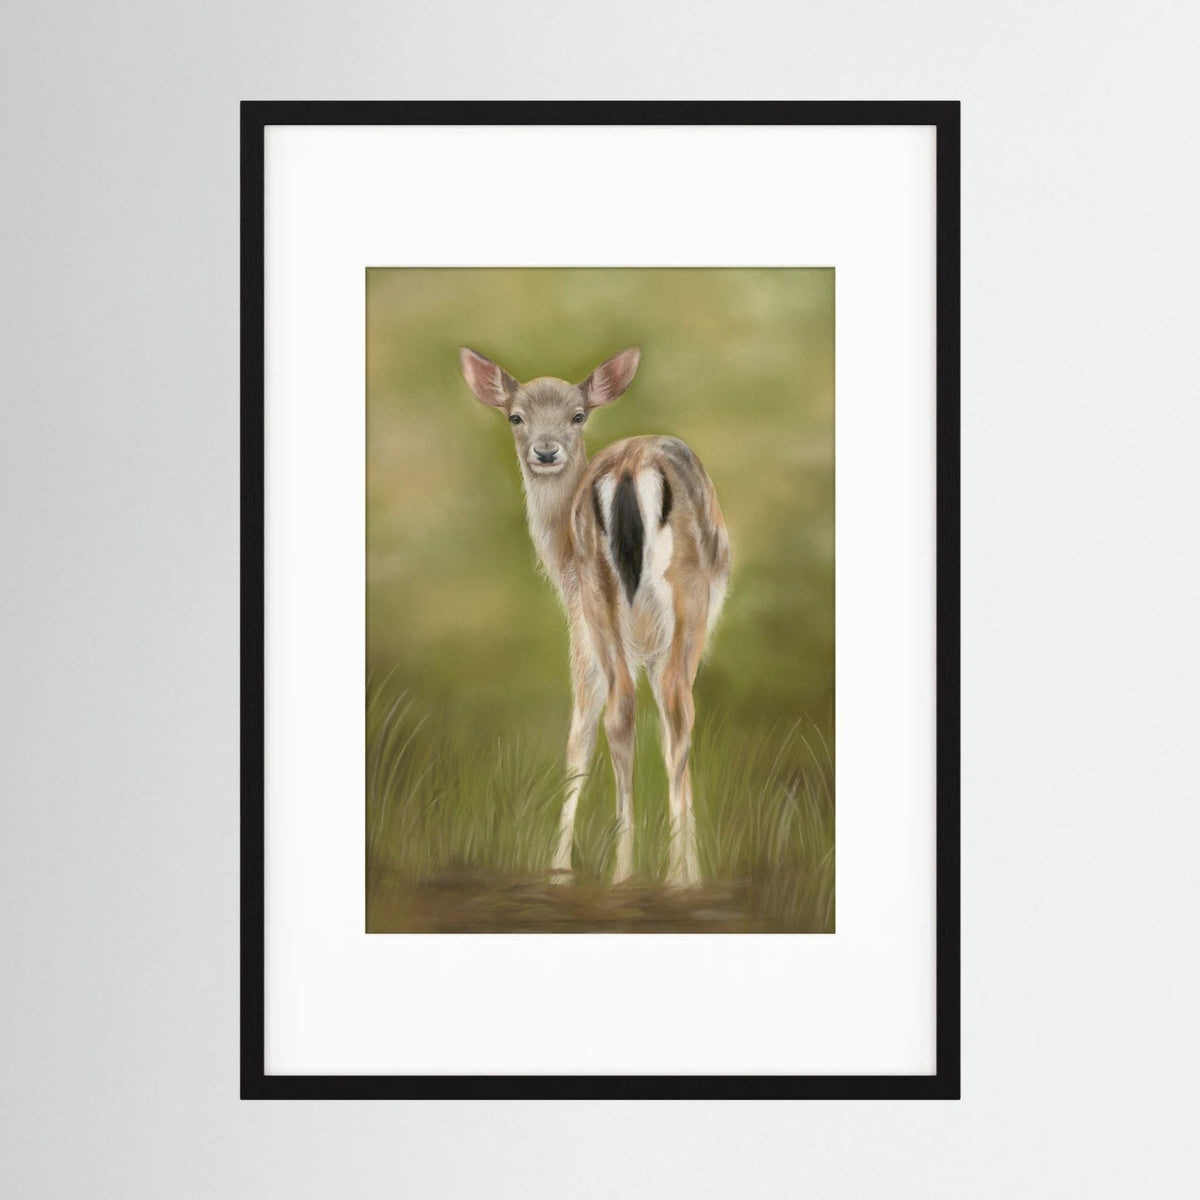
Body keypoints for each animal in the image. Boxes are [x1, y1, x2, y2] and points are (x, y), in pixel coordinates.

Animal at [459, 346, 731, 887]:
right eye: (515, 416)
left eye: (577, 415)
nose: (545, 452)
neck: (558, 559)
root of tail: (628, 469)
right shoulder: (593, 630)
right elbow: (592, 731)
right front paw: (562, 867)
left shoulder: (593, 626)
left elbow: (587, 730)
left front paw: (560, 868)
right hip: (674, 601)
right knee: (668, 709)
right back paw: (663, 877)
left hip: (606, 596)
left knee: (631, 709)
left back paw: (630, 872)